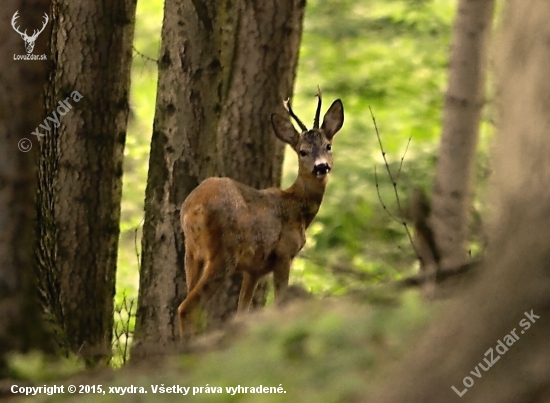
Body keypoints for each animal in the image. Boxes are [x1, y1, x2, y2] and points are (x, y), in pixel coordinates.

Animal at [178, 90, 344, 338]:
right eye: (302, 151)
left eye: (328, 146)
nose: (321, 167)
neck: (298, 209)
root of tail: (193, 208)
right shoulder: (284, 254)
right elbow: (279, 302)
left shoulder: (254, 270)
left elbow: (241, 313)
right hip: (223, 252)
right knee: (187, 307)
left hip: (192, 254)